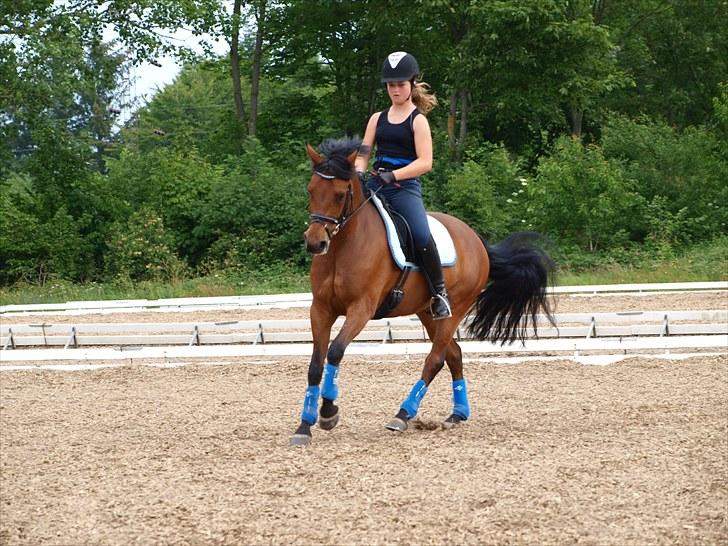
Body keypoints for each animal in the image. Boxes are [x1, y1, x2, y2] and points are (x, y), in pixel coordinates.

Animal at [291, 137, 555, 446]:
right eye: (311, 190)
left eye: (340, 194)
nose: (315, 243)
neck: (342, 248)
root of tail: (476, 239)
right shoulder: (321, 309)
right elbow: (315, 364)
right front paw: (304, 426)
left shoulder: (362, 308)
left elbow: (335, 352)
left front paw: (329, 412)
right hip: (427, 312)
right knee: (454, 354)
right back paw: (457, 414)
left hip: (455, 308)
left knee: (436, 359)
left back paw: (403, 414)